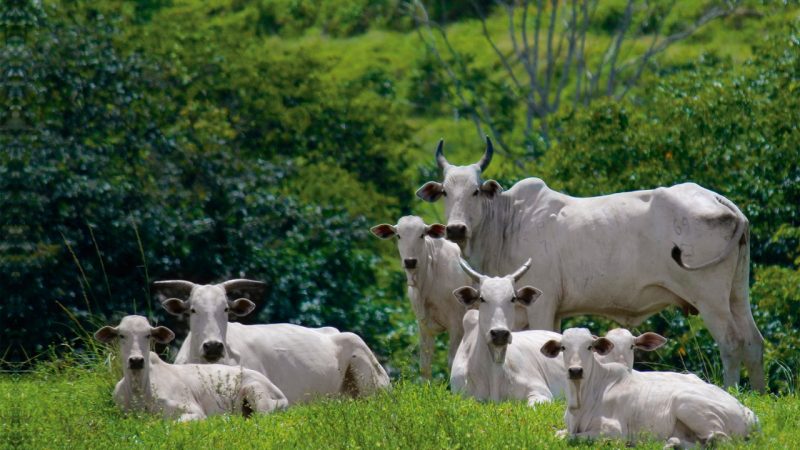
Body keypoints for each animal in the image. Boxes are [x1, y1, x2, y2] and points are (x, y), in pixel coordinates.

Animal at [94, 316, 288, 422]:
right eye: (121, 335)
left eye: (148, 335)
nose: (136, 360)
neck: (139, 391)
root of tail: (279, 392)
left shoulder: (194, 411)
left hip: (256, 393)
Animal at [536, 328, 756, 448]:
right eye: (563, 347)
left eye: (589, 347)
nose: (575, 370)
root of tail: (748, 413)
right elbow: (560, 434)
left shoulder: (614, 431)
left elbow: (570, 438)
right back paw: (671, 444)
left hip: (687, 404)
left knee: (719, 439)